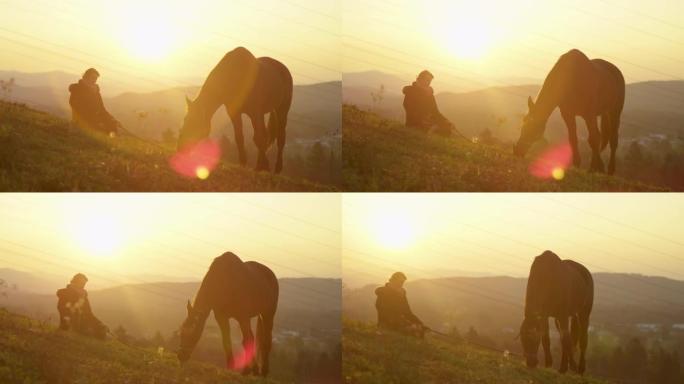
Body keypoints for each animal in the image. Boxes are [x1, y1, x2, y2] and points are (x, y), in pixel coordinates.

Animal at [178, 46, 292, 174]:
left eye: (194, 123)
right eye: (185, 119)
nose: (180, 148)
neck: (233, 76)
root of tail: (283, 68)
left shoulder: (255, 113)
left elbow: (258, 138)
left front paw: (263, 166)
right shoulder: (235, 113)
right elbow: (239, 137)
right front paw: (243, 163)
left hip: (281, 110)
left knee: (280, 136)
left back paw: (277, 168)